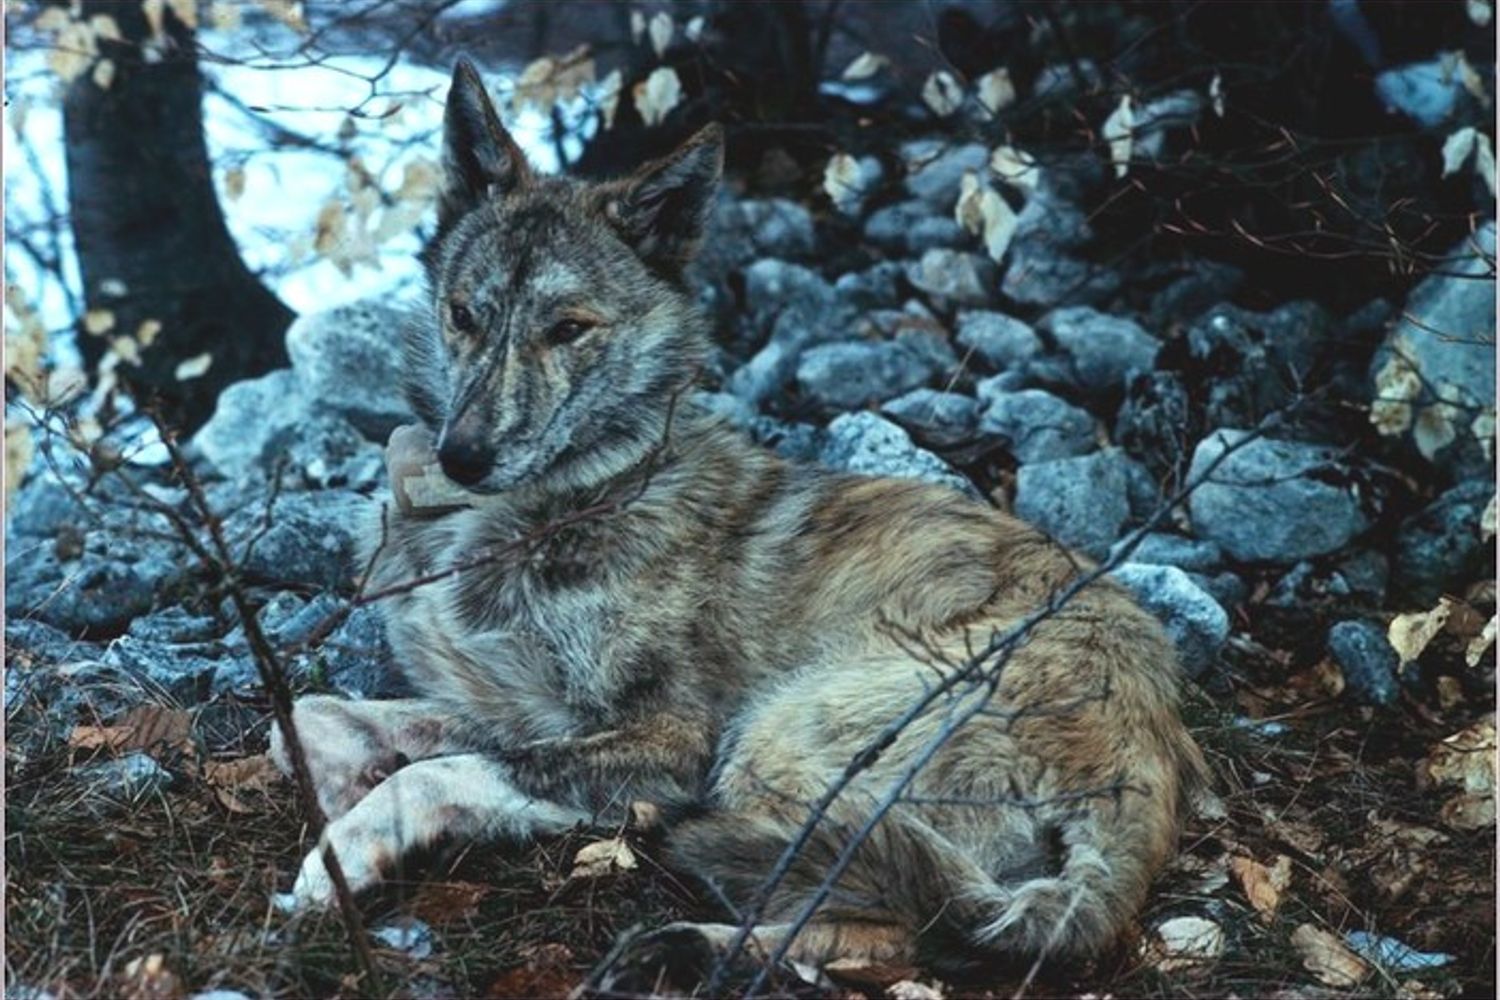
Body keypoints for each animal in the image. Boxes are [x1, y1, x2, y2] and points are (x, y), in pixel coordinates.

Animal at [270, 56, 1208, 974]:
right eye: (464, 315)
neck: (577, 490)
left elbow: (441, 770)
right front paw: (340, 772)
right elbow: (318, 717)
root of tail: (1146, 748)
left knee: (890, 928)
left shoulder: (668, 741)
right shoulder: (521, 709)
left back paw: (680, 949)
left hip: (779, 733)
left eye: (569, 329)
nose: (463, 456)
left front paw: (344, 851)